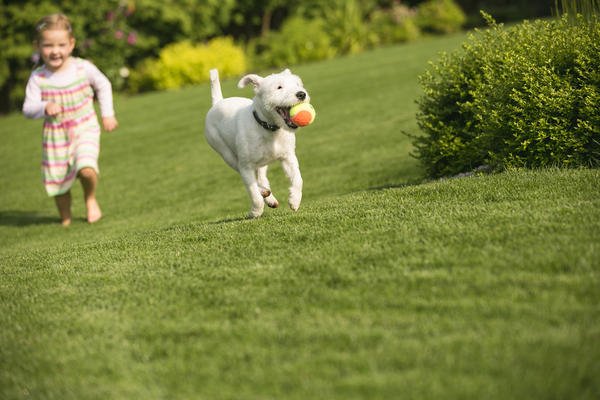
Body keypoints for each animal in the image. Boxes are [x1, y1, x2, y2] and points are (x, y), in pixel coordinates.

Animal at [205, 69, 312, 219]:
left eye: (297, 84)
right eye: (279, 87)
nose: (301, 94)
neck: (269, 128)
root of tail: (218, 102)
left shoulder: (288, 157)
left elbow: (298, 179)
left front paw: (294, 200)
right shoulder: (245, 167)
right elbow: (253, 193)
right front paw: (255, 212)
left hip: (261, 162)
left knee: (261, 177)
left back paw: (270, 198)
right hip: (226, 153)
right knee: (249, 177)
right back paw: (263, 193)